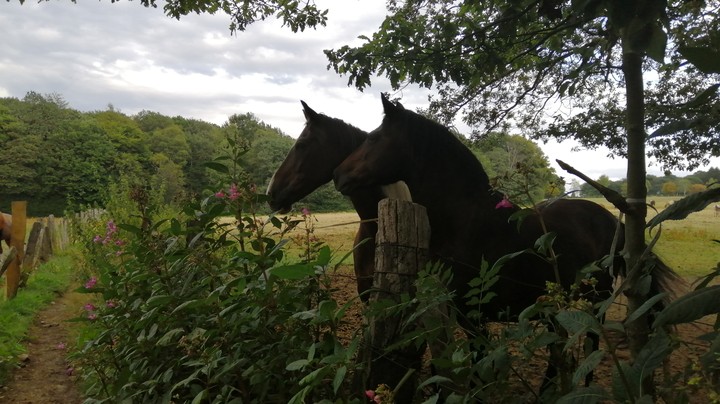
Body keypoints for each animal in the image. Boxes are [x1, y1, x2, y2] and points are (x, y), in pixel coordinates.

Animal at [334, 94, 684, 395]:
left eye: (373, 138)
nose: (338, 175)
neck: (466, 221)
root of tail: (612, 219)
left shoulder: (472, 313)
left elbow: (478, 365)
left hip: (594, 299)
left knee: (592, 343)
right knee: (559, 349)